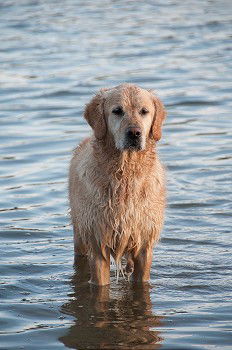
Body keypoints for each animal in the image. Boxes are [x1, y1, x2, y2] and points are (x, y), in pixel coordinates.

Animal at [68, 83, 166, 286]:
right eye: (117, 111)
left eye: (144, 111)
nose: (134, 133)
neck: (125, 176)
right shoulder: (98, 244)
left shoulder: (144, 245)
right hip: (80, 234)